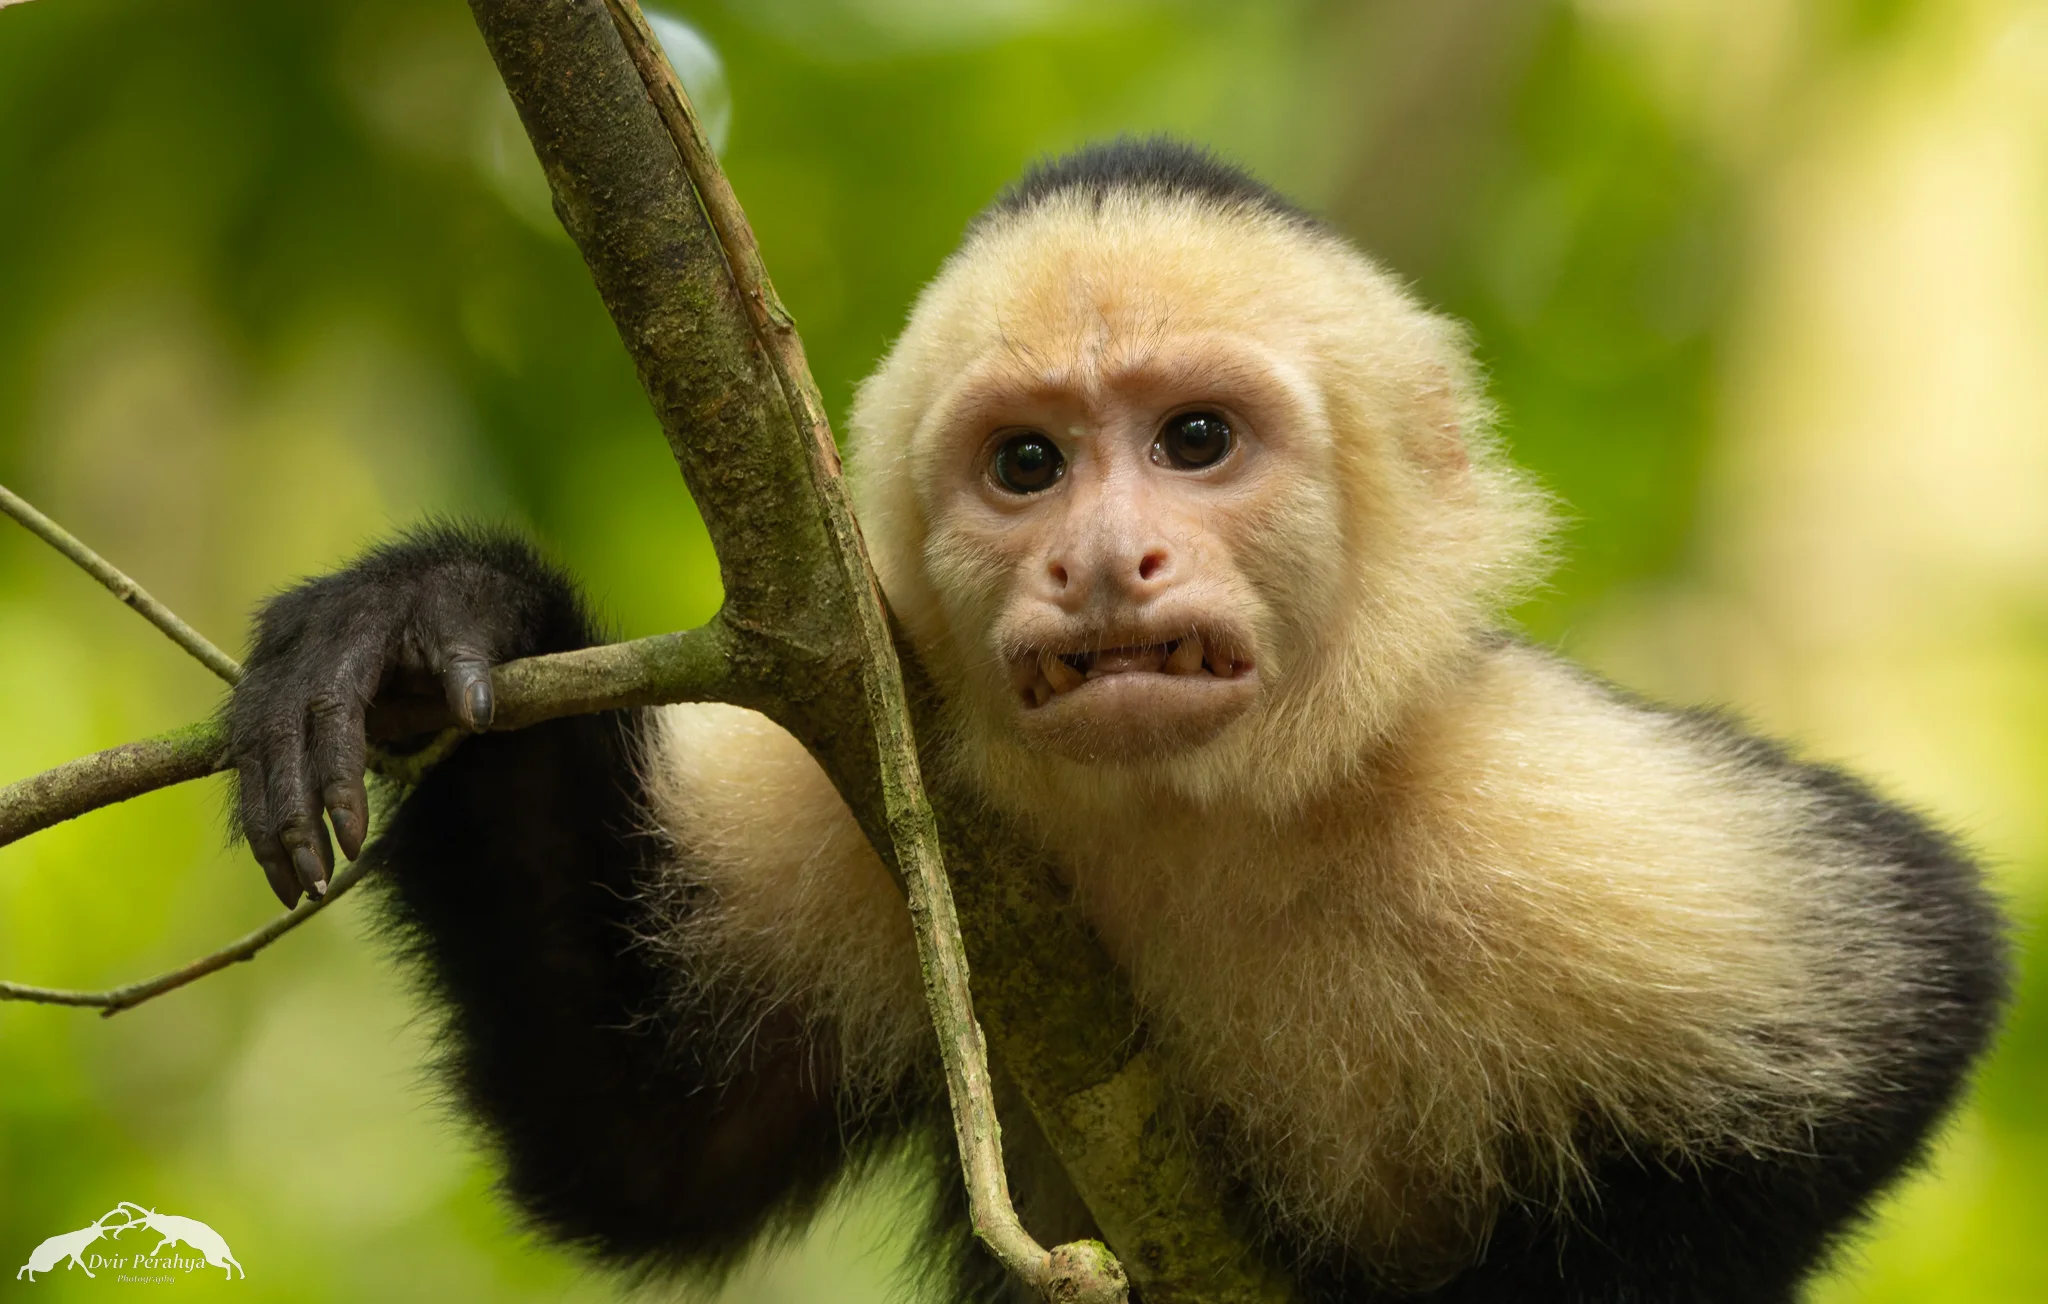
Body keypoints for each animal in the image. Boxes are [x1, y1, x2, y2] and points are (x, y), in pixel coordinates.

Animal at [225, 139, 2009, 1302]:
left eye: (1196, 439)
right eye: (1029, 466)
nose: (1100, 560)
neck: (1192, 822)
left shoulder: (1517, 798)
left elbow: (1915, 998)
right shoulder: (876, 784)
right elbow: (647, 1149)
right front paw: (432, 623)